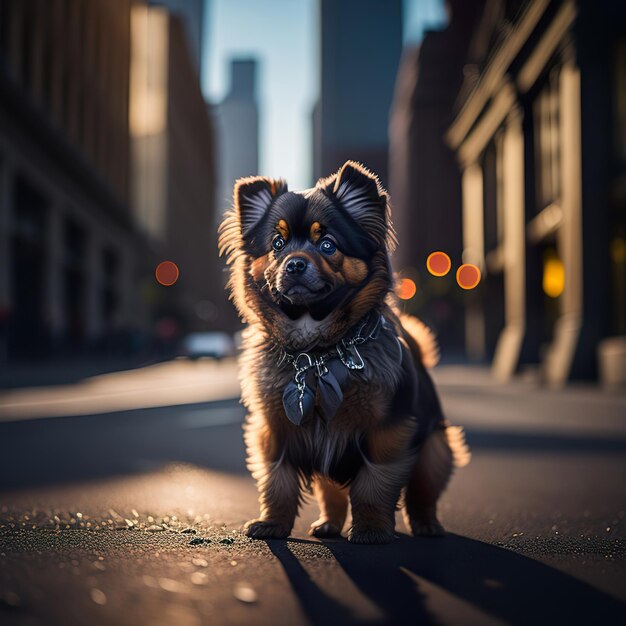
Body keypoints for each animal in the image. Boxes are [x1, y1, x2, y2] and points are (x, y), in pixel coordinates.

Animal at [217, 160, 466, 540]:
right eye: (277, 244)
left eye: (327, 245)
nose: (295, 263)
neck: (316, 353)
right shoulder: (274, 432)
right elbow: (277, 483)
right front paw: (272, 523)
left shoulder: (387, 434)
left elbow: (373, 485)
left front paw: (372, 530)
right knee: (331, 493)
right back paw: (328, 525)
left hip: (434, 451)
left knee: (422, 494)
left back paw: (427, 524)